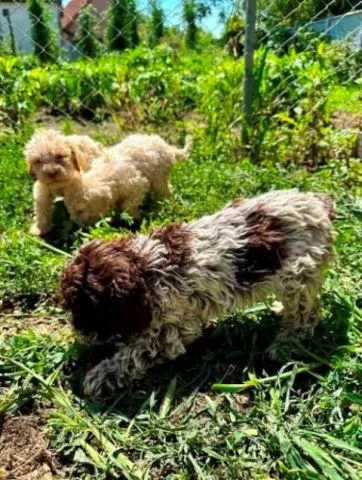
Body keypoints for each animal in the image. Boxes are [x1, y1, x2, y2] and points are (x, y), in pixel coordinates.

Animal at [60, 189, 336, 396]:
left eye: (86, 309)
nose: (80, 334)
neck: (146, 266)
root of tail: (320, 204)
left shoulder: (170, 332)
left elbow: (131, 356)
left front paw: (100, 375)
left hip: (298, 274)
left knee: (305, 315)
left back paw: (285, 344)